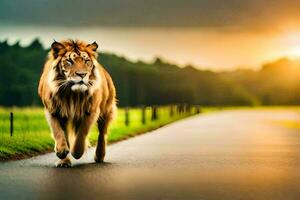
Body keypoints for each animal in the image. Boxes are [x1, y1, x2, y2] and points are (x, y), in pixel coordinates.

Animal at [37, 39, 117, 167]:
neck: (71, 94)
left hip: (106, 110)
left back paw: (99, 156)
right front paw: (62, 154)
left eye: (86, 61)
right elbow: (58, 132)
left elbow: (82, 133)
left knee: (102, 133)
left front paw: (76, 152)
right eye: (69, 61)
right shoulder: (53, 111)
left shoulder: (92, 111)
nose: (82, 74)